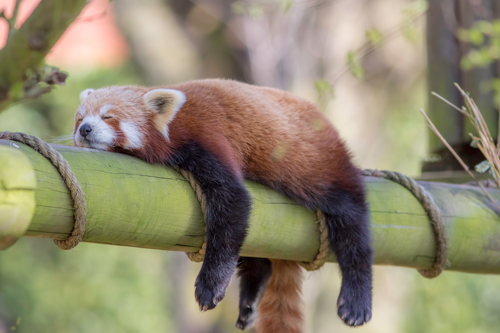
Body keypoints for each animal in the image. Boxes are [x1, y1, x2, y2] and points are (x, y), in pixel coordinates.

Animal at [72, 79, 374, 330]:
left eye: (108, 116)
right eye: (80, 118)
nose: (85, 129)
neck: (176, 123)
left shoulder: (207, 136)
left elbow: (233, 204)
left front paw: (209, 286)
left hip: (319, 163)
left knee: (351, 219)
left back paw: (356, 298)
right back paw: (251, 296)